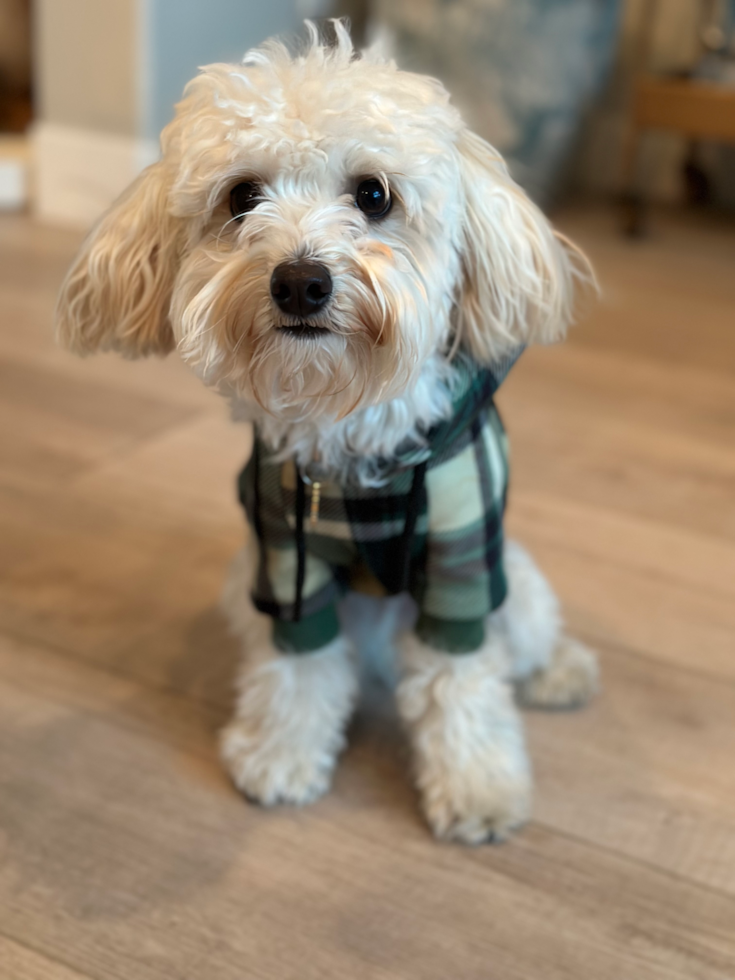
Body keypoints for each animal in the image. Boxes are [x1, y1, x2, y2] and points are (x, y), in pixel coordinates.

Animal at [56, 21, 600, 844]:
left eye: (373, 194)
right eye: (242, 196)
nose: (300, 282)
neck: (350, 445)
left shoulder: (460, 566)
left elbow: (461, 682)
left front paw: (476, 786)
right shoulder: (288, 563)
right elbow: (298, 670)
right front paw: (281, 754)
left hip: (517, 584)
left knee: (527, 639)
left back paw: (560, 671)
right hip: (242, 582)